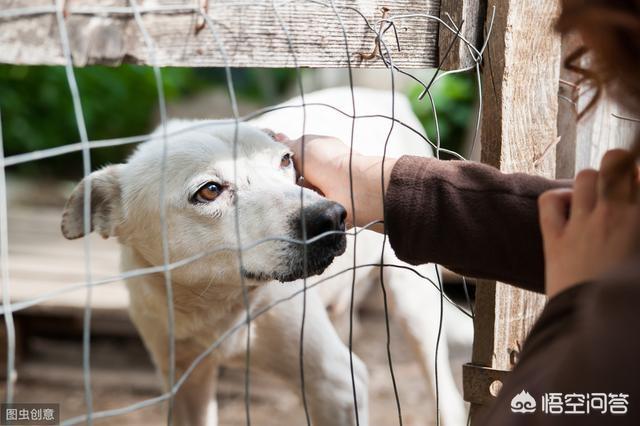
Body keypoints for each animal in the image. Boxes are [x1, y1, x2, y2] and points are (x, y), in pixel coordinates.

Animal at [61, 87, 470, 426]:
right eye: (209, 190)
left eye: (286, 160)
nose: (331, 217)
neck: (215, 304)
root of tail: (383, 94)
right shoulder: (184, 383)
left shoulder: (335, 384)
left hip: (413, 307)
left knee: (443, 391)